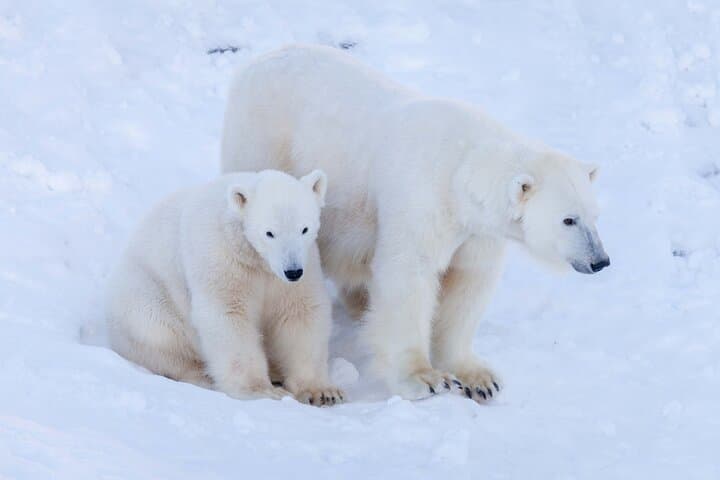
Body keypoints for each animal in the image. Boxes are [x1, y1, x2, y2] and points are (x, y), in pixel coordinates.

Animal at [106, 169, 344, 406]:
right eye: (269, 233)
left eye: (304, 229)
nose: (292, 271)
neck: (257, 259)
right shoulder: (222, 257)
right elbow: (228, 315)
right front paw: (262, 391)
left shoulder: (301, 267)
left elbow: (300, 313)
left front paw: (322, 392)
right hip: (145, 294)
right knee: (160, 334)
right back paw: (203, 375)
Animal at [220, 45, 610, 402]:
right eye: (568, 219)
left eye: (595, 214)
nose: (600, 261)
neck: (463, 169)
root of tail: (255, 62)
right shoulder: (424, 197)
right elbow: (409, 274)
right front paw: (425, 378)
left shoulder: (477, 231)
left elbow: (468, 283)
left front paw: (479, 378)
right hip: (262, 141)